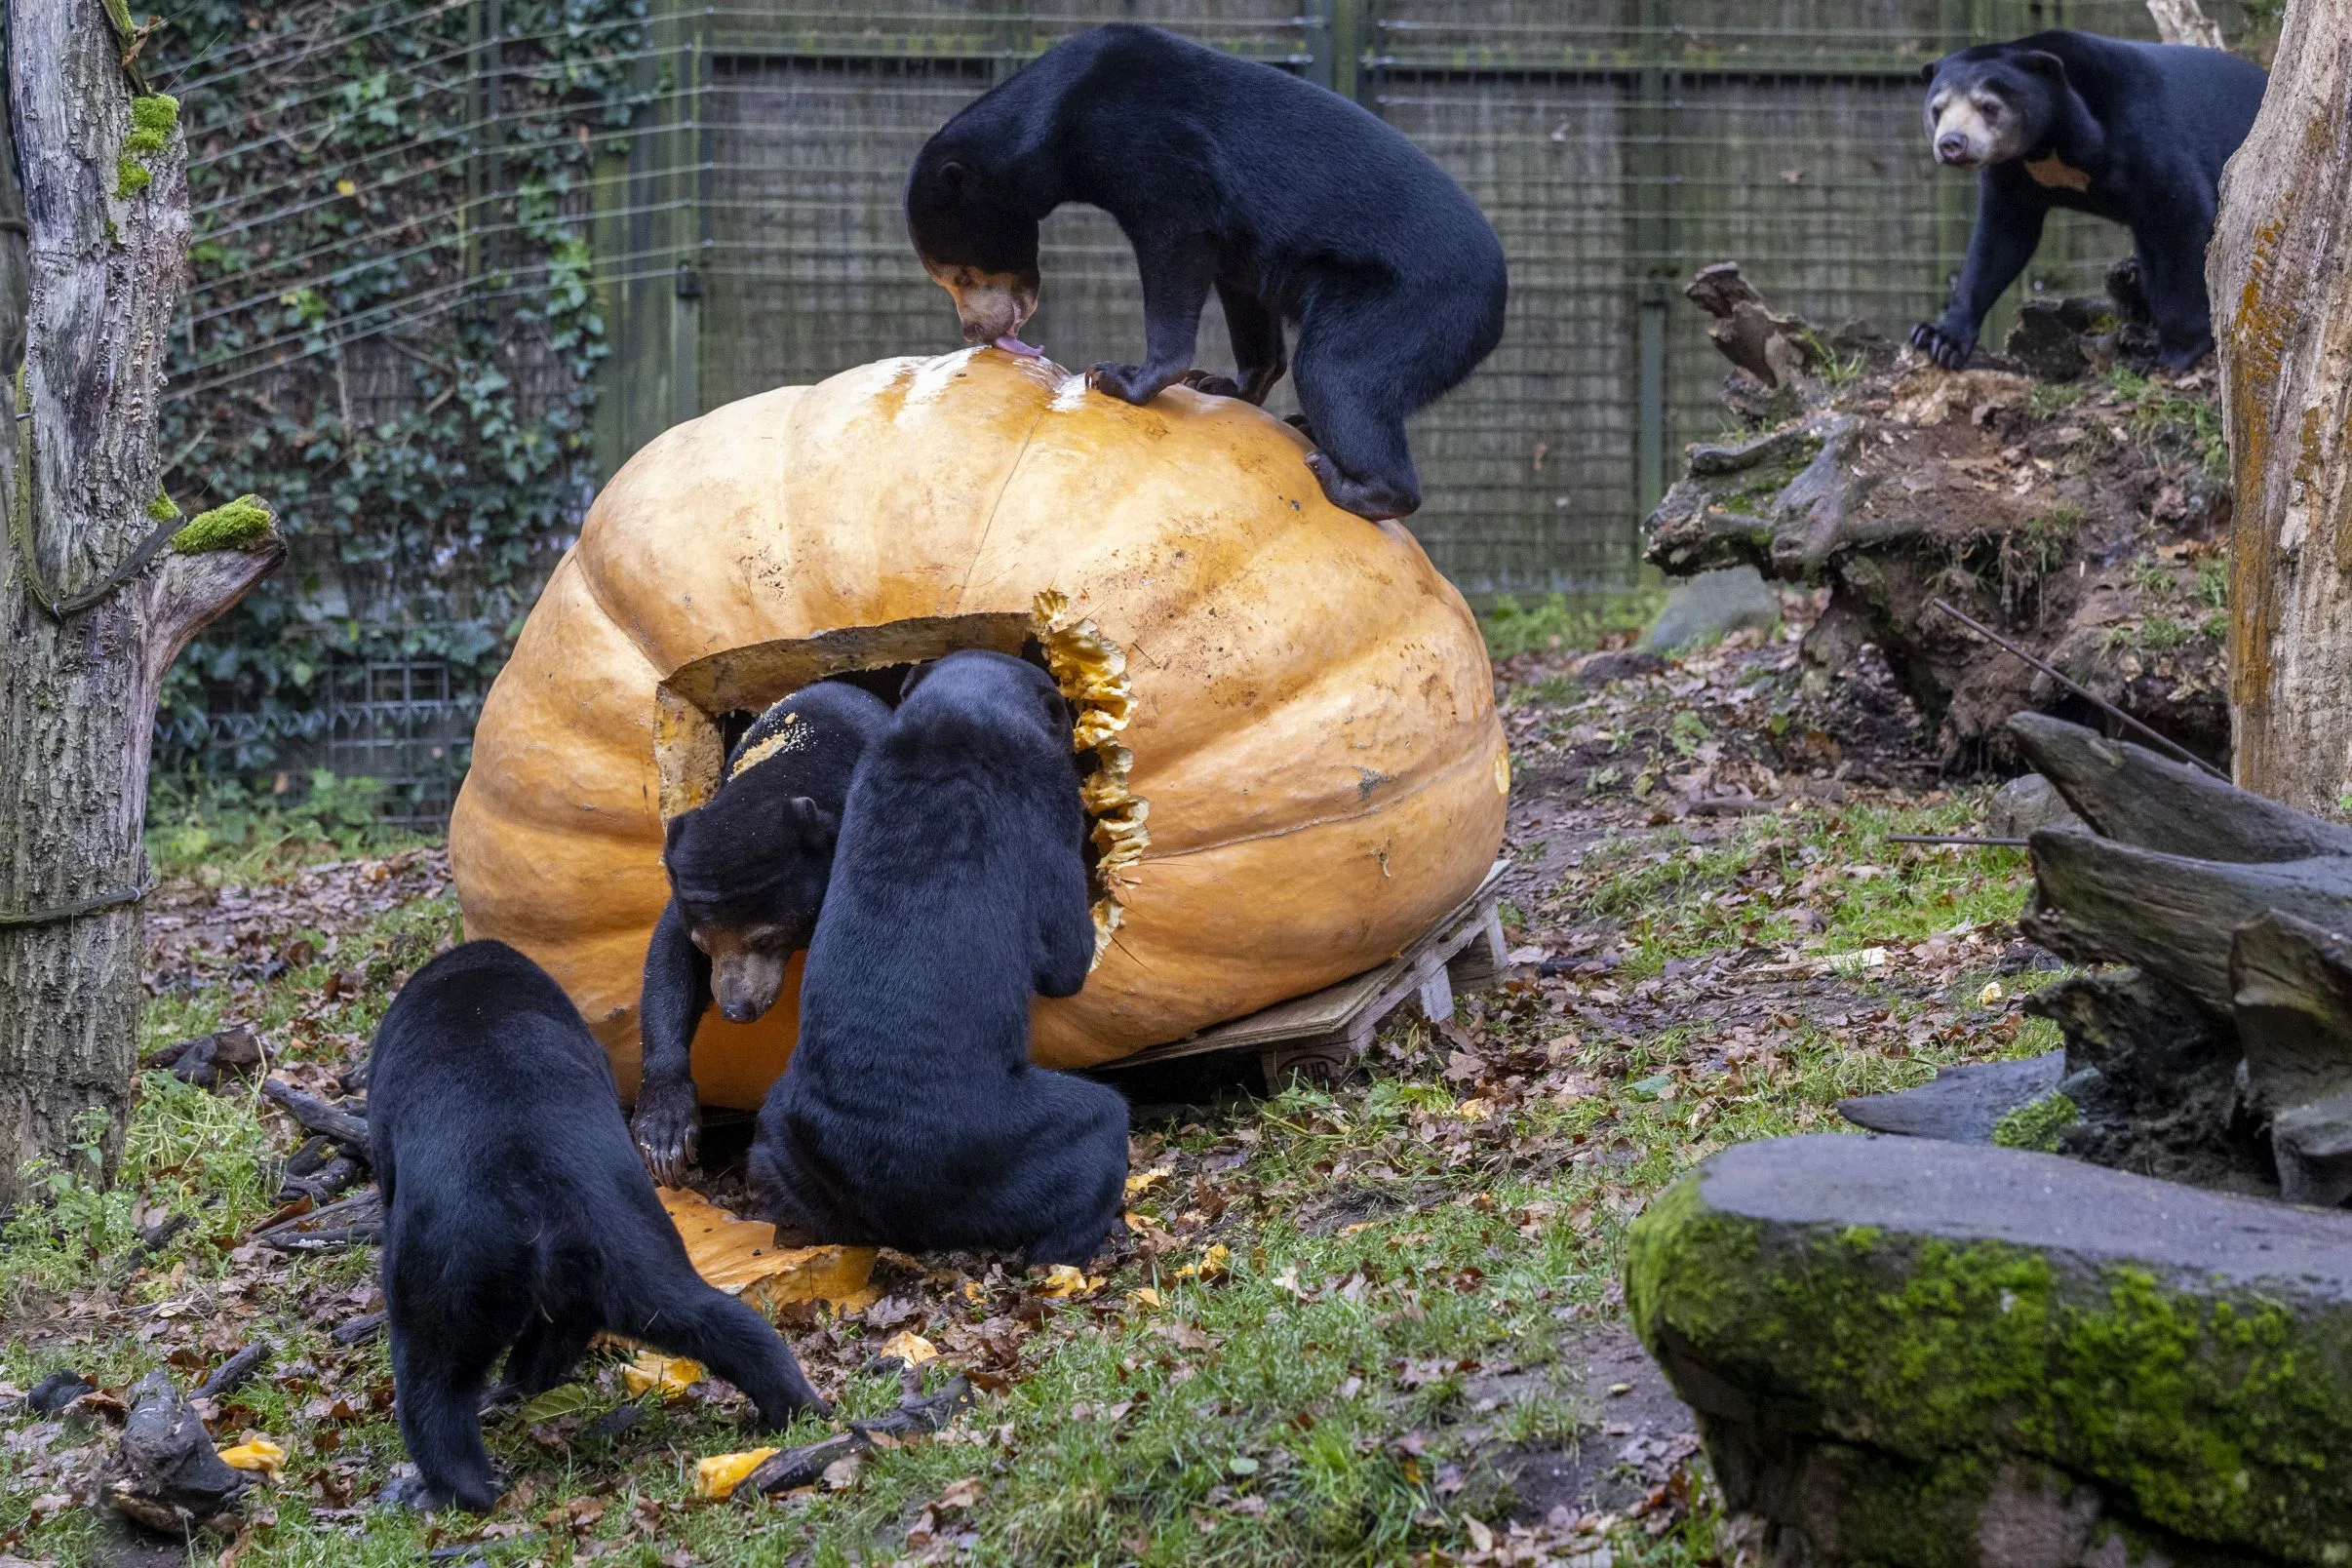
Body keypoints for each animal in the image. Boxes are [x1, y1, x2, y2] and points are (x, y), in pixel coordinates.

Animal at [372, 940, 832, 1513]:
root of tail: (533, 1197)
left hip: (442, 1272)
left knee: (433, 1388)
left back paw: (455, 1491)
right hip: (631, 1242)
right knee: (716, 1323)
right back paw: (796, 1409)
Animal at [898, 22, 1505, 527]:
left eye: (963, 273)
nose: (978, 333)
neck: (1060, 119)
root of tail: (1498, 310)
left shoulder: (1160, 158)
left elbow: (1174, 248)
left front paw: (1120, 378)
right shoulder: (1241, 247)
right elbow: (1244, 300)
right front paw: (1223, 384)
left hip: (1407, 306)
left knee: (1339, 372)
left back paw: (1349, 482)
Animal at [1909, 31, 2257, 375]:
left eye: (1989, 106)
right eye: (1937, 110)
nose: (1952, 144)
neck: (2048, 144)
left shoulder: (2143, 134)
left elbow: (2182, 217)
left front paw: (2171, 356)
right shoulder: (2011, 174)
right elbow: (2000, 241)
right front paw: (1938, 339)